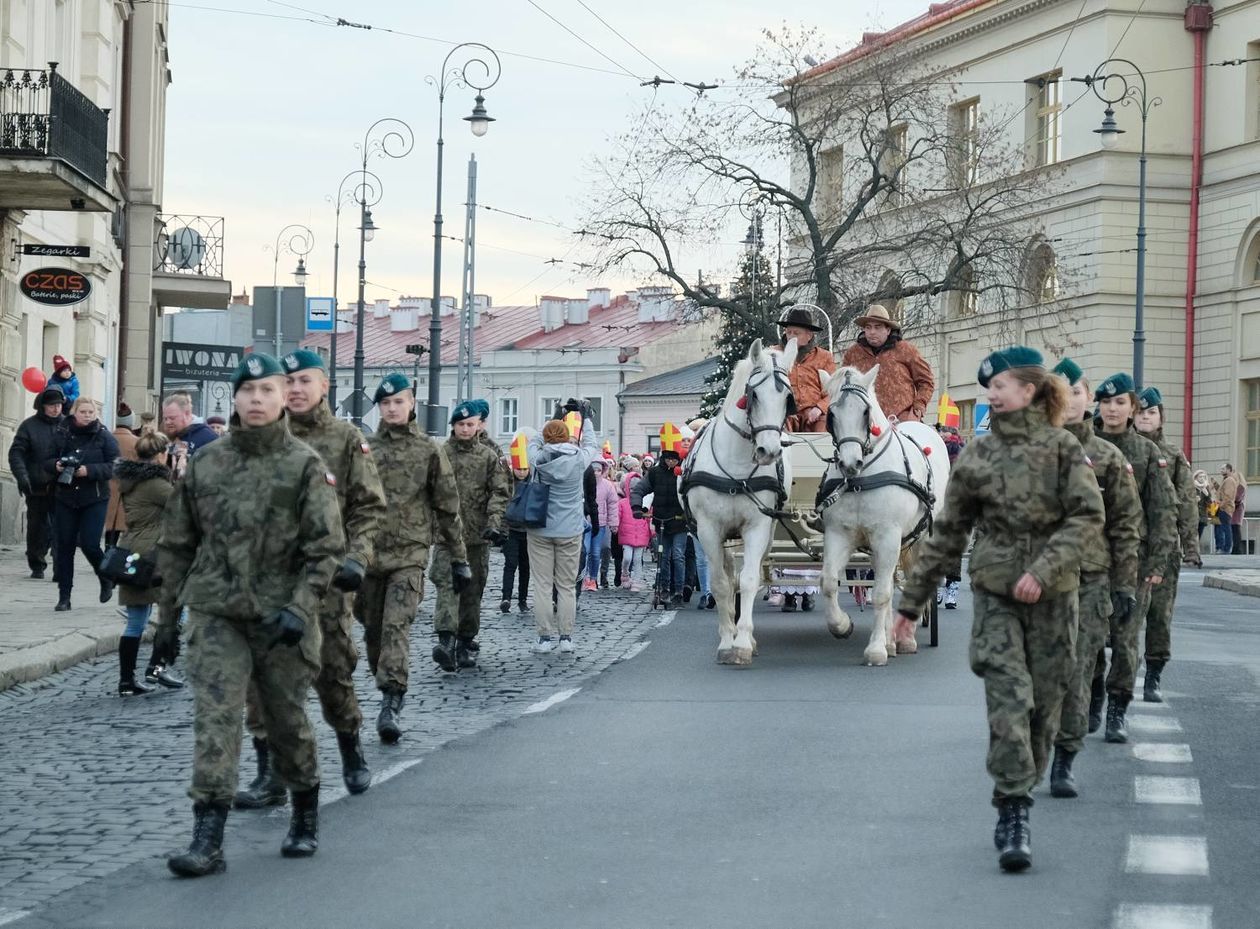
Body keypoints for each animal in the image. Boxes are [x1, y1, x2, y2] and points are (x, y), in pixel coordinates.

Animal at [685, 337, 801, 665]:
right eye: (754, 395)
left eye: (788, 398)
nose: (769, 451)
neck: (736, 467)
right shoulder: (708, 530)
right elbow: (720, 584)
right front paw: (727, 641)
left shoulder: (758, 526)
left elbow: (749, 580)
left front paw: (743, 643)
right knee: (726, 575)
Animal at [811, 365, 947, 665]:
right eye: (831, 415)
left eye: (866, 412)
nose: (850, 463)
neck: (861, 480)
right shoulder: (840, 534)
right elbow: (829, 582)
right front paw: (842, 625)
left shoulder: (888, 536)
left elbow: (883, 594)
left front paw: (875, 649)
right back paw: (891, 639)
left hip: (920, 537)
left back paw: (905, 639)